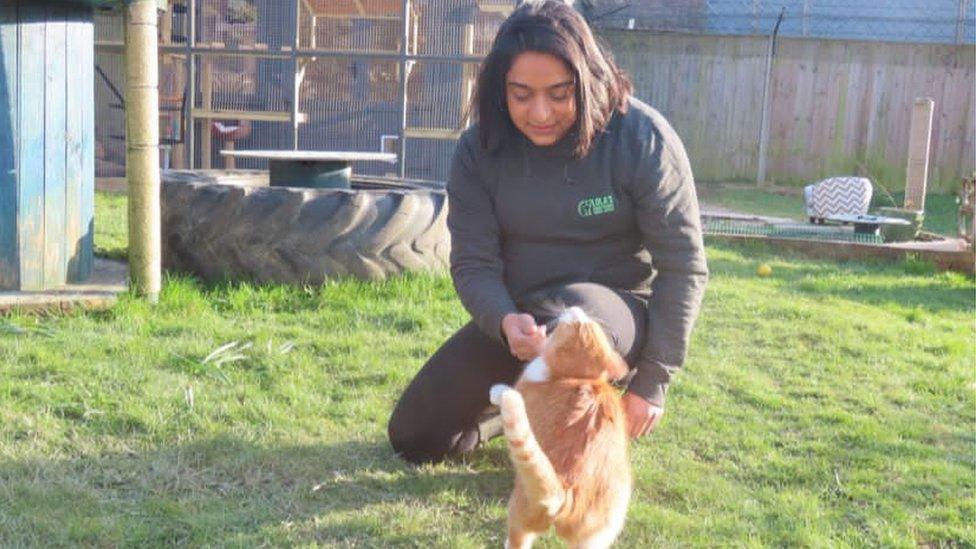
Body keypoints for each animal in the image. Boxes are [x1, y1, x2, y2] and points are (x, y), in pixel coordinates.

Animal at [488, 306, 632, 548]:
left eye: (574, 322)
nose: (576, 308)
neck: (577, 377)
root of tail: (567, 492)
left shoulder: (521, 388)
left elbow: (505, 392)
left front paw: (497, 391)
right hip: (596, 537)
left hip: (520, 512)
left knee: (517, 540)